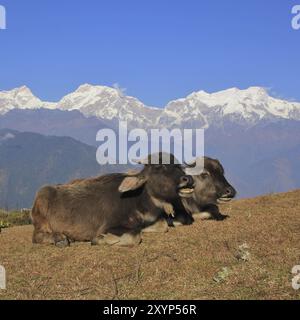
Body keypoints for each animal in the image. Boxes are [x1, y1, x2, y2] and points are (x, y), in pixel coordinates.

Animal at [31, 154, 195, 248]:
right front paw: (99, 240)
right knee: (36, 236)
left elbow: (161, 226)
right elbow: (134, 236)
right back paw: (60, 239)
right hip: (41, 216)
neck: (137, 200)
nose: (188, 179)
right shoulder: (108, 226)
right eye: (159, 166)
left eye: (179, 166)